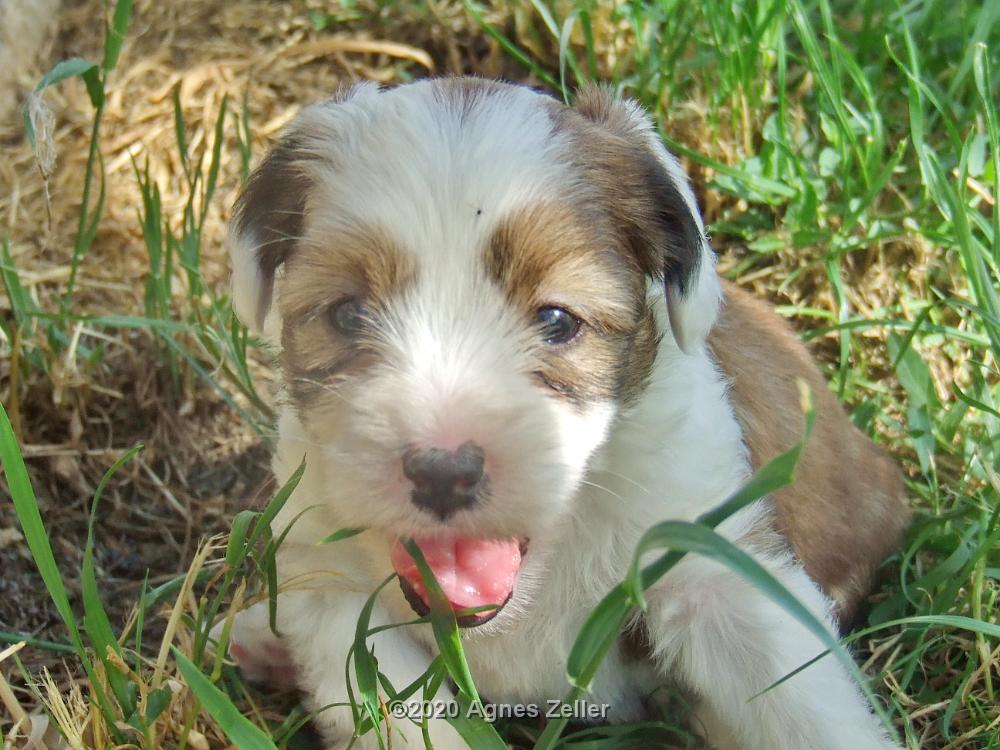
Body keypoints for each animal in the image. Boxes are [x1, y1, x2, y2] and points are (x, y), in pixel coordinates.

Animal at [223, 78, 912, 750]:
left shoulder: (712, 562)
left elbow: (806, 708)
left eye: (557, 320)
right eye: (348, 314)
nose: (443, 472)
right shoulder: (331, 586)